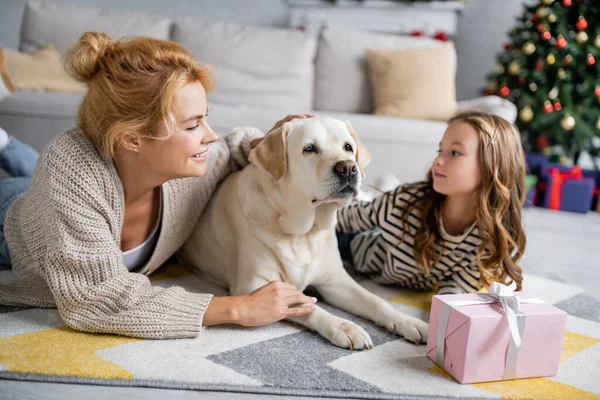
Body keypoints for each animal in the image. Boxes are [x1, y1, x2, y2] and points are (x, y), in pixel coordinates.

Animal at [180, 117, 428, 348]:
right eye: (309, 148)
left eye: (348, 147)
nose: (348, 167)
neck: (304, 232)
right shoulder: (255, 286)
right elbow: (307, 305)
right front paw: (344, 327)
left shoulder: (335, 281)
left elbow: (376, 300)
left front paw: (408, 321)